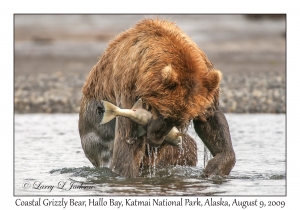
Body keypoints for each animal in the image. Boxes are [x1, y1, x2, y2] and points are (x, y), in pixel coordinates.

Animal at [78, 18, 236, 177]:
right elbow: (127, 146)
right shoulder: (128, 86)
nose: (155, 139)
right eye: (163, 115)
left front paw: (215, 167)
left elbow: (210, 120)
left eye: (179, 121)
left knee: (189, 148)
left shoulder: (205, 83)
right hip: (96, 133)